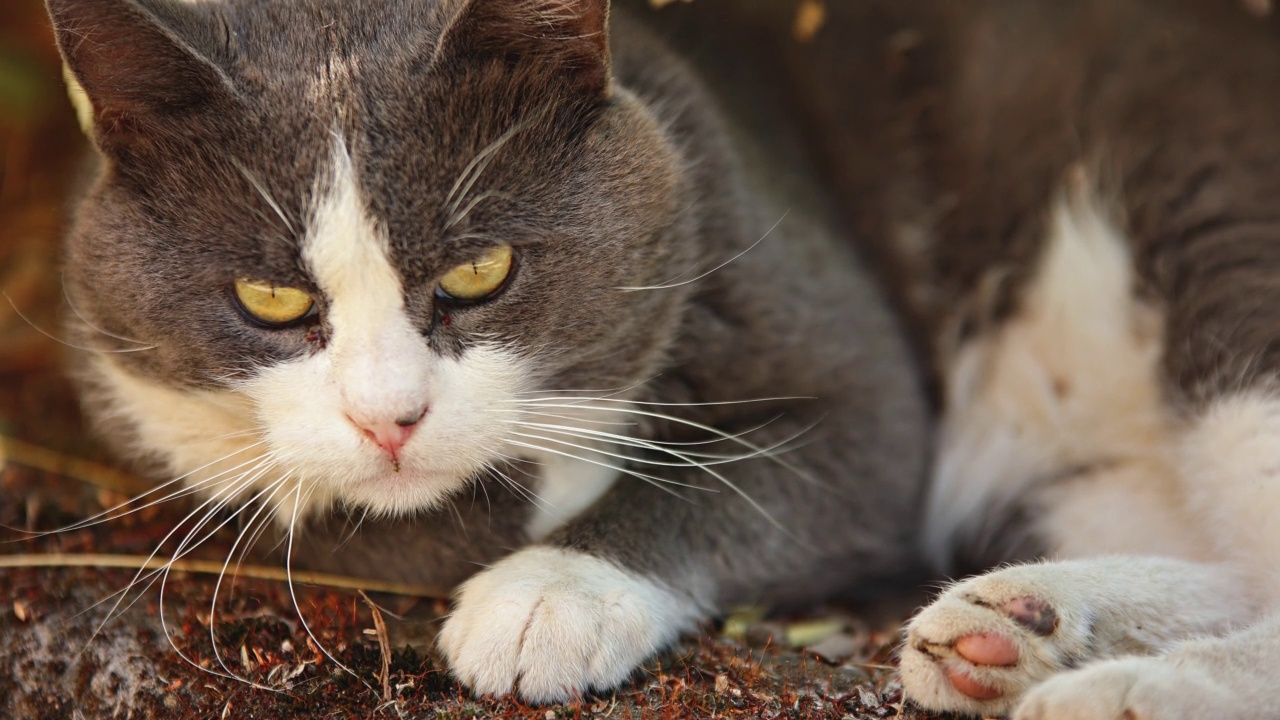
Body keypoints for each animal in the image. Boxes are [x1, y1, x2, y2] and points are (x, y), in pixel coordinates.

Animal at [45, 0, 931, 702]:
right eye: (270, 299)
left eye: (479, 272)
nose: (390, 420)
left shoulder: (859, 385)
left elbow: (743, 482)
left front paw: (549, 598)